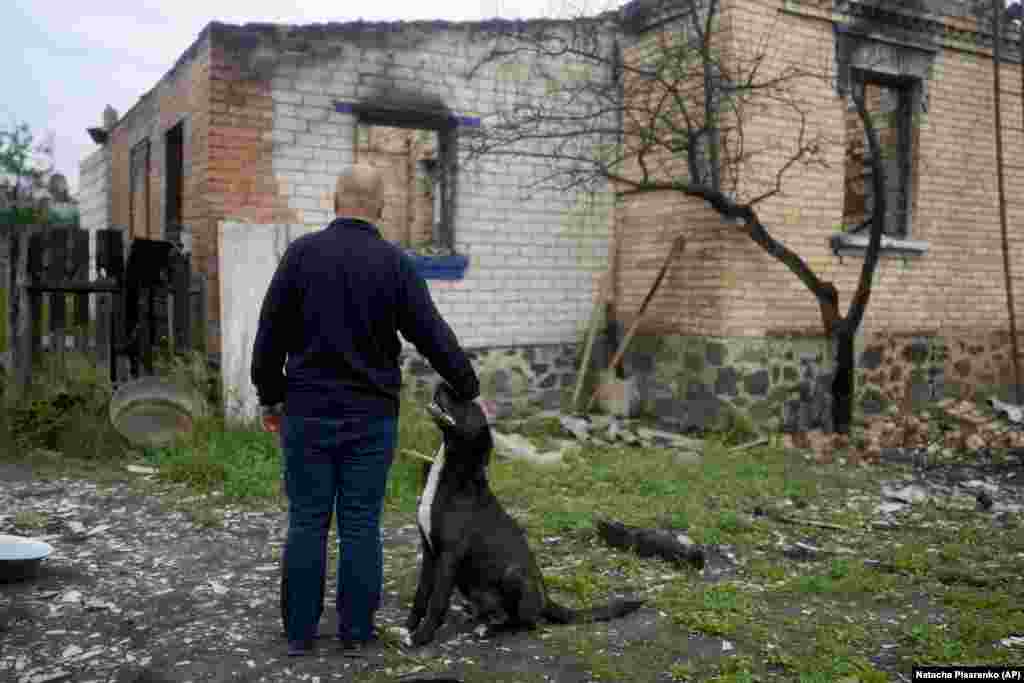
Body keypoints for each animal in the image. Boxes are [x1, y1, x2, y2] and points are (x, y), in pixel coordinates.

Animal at [405, 385, 638, 647]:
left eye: (466, 403)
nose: (442, 384)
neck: (455, 477)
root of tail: (546, 600)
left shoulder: (449, 556)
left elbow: (436, 602)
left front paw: (422, 636)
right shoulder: (429, 551)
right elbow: (421, 595)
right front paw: (407, 627)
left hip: (514, 576)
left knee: (525, 622)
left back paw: (491, 629)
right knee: (497, 613)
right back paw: (479, 617)